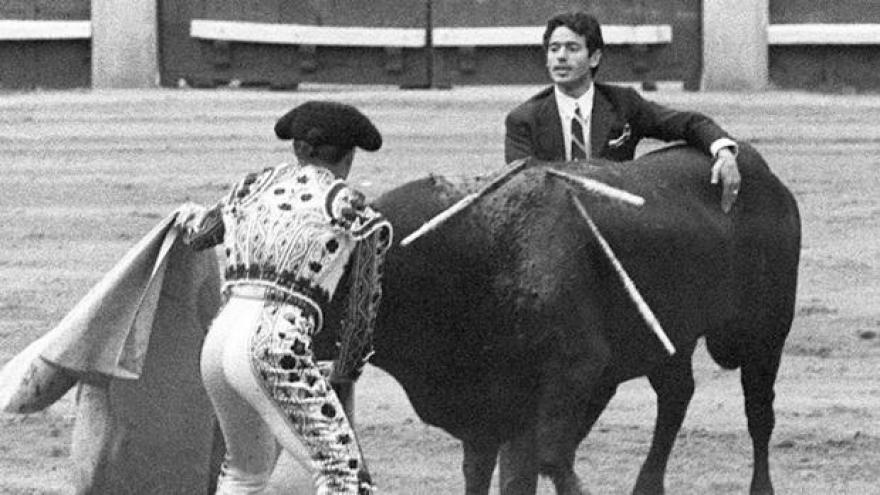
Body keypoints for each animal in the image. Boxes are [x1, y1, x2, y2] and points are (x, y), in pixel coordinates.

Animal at [324, 144, 796, 495]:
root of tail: (766, 175)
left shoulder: (574, 369)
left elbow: (550, 460)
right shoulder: (490, 406)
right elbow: (486, 470)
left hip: (766, 334)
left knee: (759, 414)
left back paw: (761, 488)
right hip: (670, 340)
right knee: (677, 396)